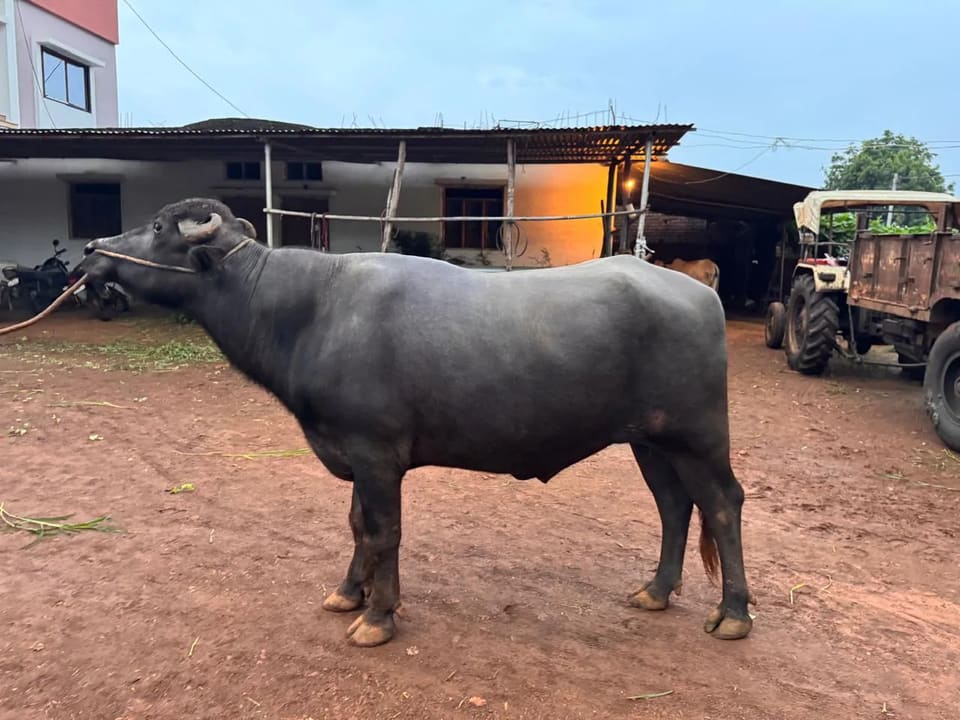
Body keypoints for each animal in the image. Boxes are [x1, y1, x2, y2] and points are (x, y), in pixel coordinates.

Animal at [79, 198, 754, 647]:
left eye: (158, 228)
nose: (89, 251)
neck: (308, 308)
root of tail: (700, 293)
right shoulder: (353, 452)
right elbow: (357, 525)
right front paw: (348, 592)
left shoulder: (378, 453)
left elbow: (384, 532)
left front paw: (378, 617)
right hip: (651, 440)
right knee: (674, 506)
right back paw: (655, 591)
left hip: (698, 436)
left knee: (722, 504)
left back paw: (734, 614)